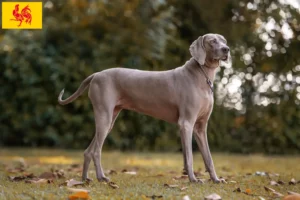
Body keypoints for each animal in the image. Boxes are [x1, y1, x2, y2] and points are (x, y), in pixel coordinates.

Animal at [59, 33, 232, 184]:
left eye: (224, 40)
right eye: (212, 41)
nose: (226, 49)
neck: (202, 75)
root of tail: (96, 74)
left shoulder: (200, 127)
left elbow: (208, 157)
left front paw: (216, 180)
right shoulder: (186, 123)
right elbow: (189, 156)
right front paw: (193, 179)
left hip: (109, 120)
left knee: (89, 151)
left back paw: (84, 179)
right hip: (104, 116)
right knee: (96, 151)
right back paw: (101, 177)